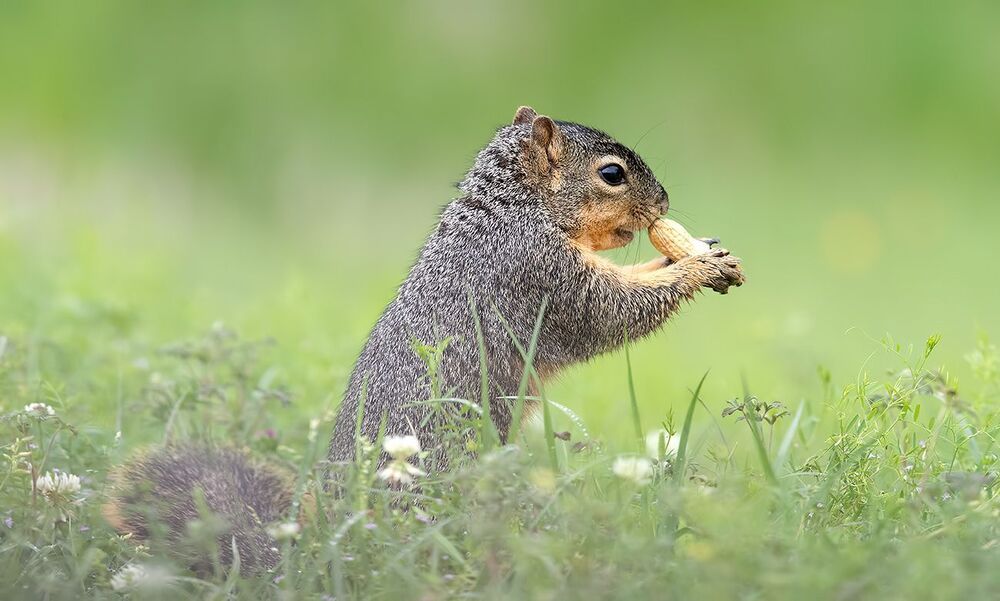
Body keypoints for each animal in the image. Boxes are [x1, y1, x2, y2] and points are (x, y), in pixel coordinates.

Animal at [103, 106, 744, 574]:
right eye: (612, 174)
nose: (664, 204)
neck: (516, 210)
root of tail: (332, 556)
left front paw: (697, 249)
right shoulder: (539, 276)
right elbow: (613, 310)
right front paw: (696, 267)